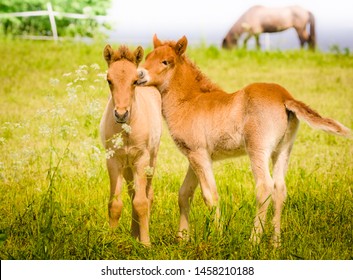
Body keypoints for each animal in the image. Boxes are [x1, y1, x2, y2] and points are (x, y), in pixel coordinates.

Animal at [99, 44, 162, 245]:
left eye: (135, 81)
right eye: (109, 80)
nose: (121, 114)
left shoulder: (141, 159)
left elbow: (141, 203)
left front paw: (146, 243)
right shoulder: (113, 161)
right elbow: (115, 203)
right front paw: (110, 241)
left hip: (150, 161)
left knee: (147, 195)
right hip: (127, 167)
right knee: (132, 193)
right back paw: (134, 234)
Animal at [136, 34, 350, 246]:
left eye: (166, 61)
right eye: (148, 57)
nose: (139, 74)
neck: (189, 101)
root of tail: (284, 97)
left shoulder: (198, 154)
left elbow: (210, 195)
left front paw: (218, 237)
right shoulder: (195, 156)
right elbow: (184, 194)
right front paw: (182, 238)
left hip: (257, 149)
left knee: (265, 187)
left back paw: (253, 241)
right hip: (283, 150)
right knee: (280, 189)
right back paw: (275, 243)